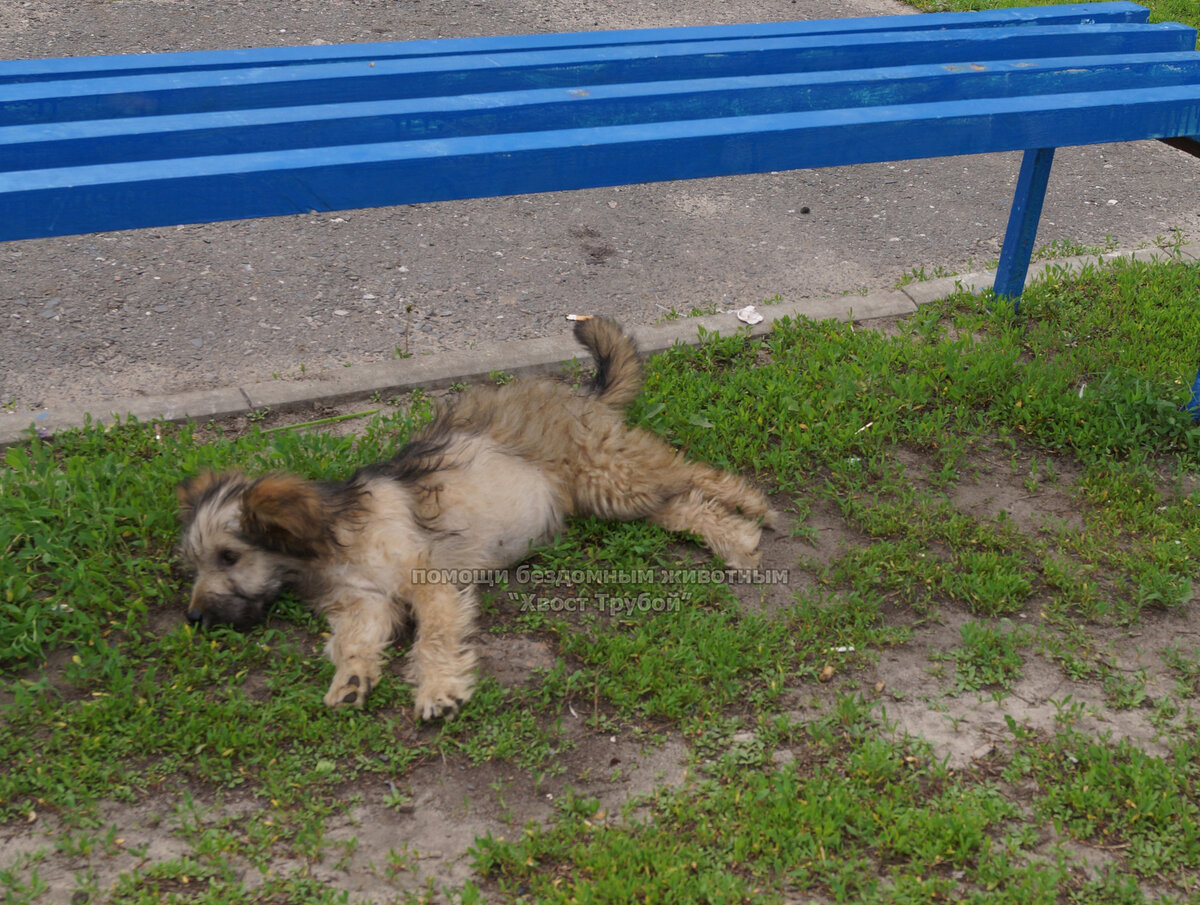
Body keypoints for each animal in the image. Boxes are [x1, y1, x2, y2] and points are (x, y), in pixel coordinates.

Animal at [177, 314, 777, 710]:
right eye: (198, 562)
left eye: (228, 556)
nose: (193, 618)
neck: (334, 539)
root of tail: (583, 397)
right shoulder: (364, 606)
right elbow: (353, 642)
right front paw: (351, 681)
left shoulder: (430, 585)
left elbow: (433, 639)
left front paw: (438, 688)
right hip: (613, 499)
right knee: (686, 507)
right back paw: (737, 541)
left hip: (614, 476)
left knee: (692, 471)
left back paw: (755, 505)